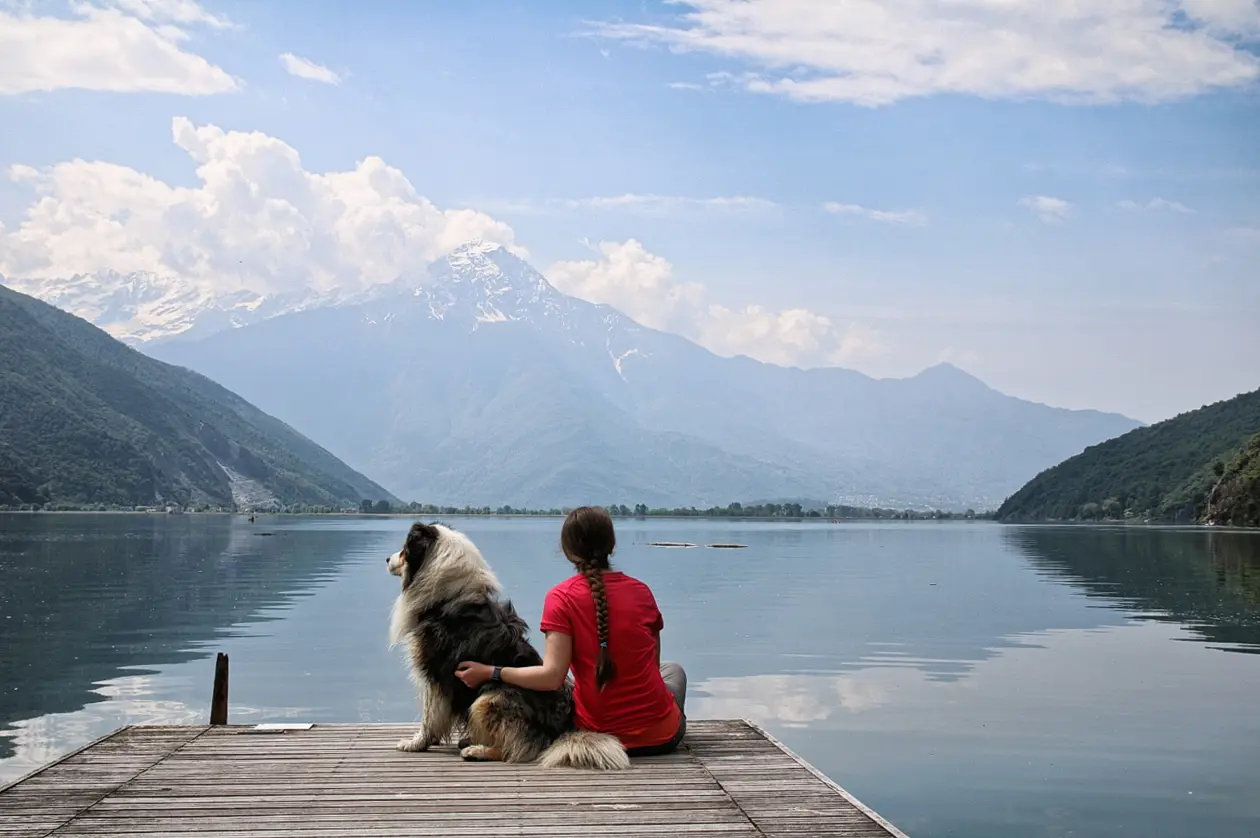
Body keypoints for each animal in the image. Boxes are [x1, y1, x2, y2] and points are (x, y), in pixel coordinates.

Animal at [383, 519, 630, 766]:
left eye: (405, 549)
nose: (386, 559)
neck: (447, 597)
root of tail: (559, 733)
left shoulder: (435, 671)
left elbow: (430, 715)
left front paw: (415, 743)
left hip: (489, 698)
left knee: (515, 748)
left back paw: (476, 750)